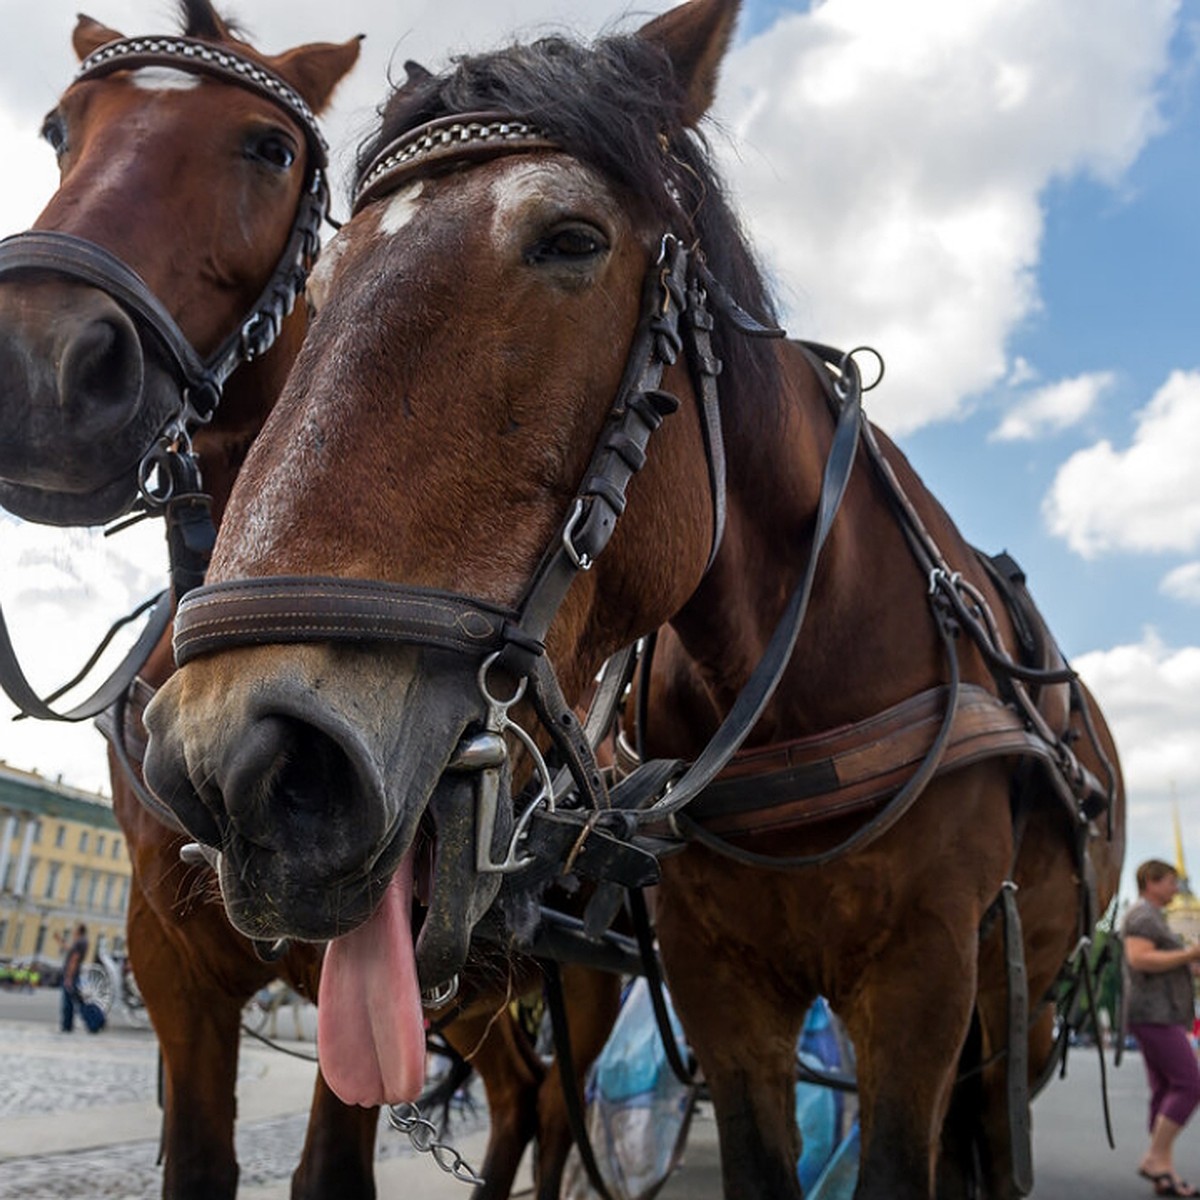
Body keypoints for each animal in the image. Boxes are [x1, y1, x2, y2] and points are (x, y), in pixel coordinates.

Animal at [140, 2, 1123, 1200]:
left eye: (571, 240)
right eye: (316, 292)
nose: (233, 758)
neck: (809, 687)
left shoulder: (925, 981)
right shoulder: (721, 988)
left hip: (1020, 1006)